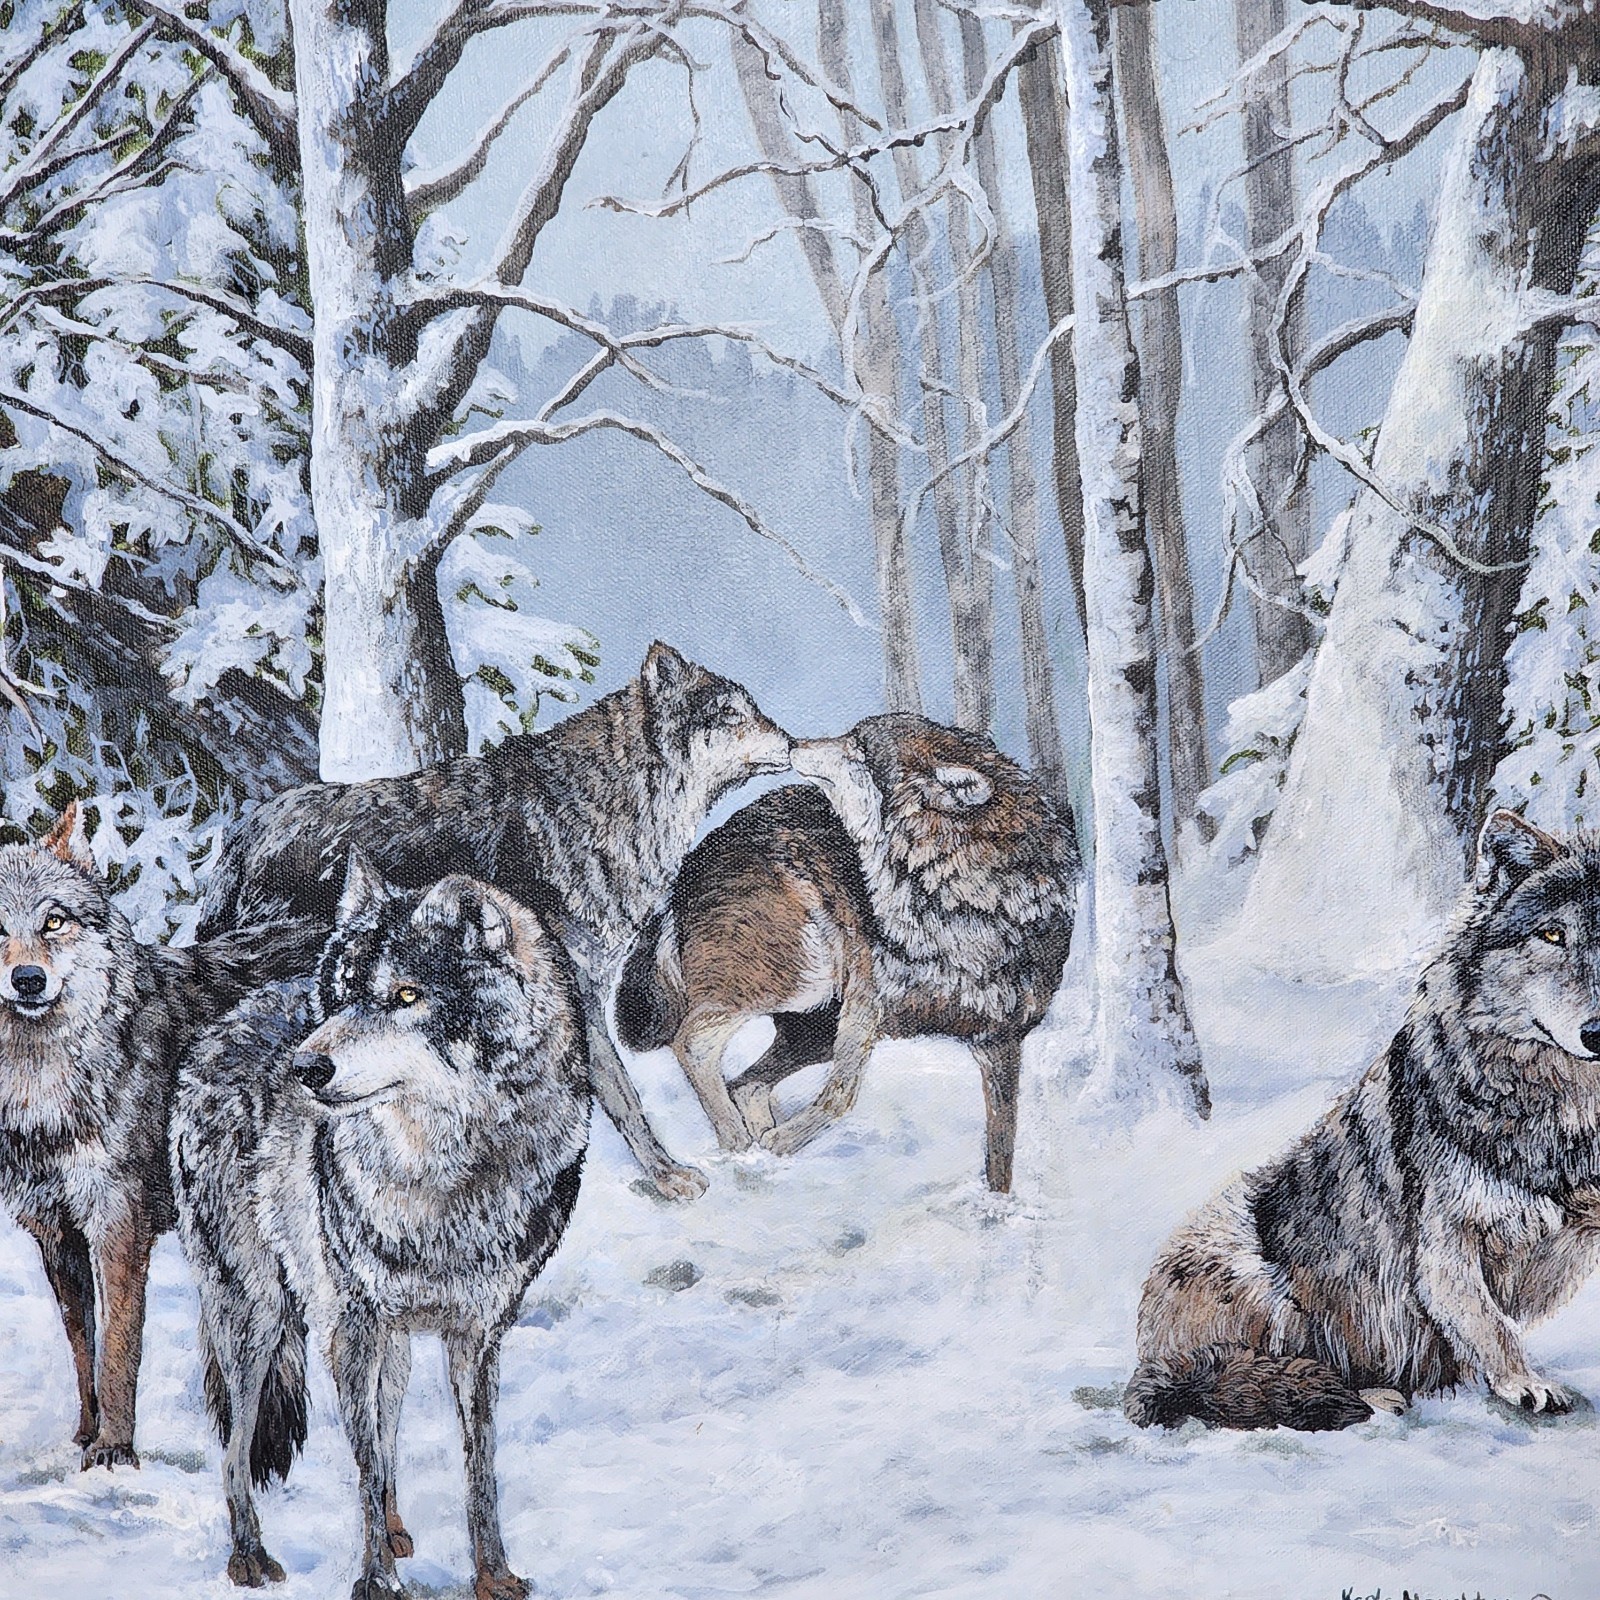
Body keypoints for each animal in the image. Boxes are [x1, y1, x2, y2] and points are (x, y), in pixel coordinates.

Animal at [0, 803, 324, 1470]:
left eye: (53, 920)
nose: (28, 980)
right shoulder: (56, 1233)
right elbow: (84, 1352)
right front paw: (85, 1436)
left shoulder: (118, 1225)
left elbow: (118, 1351)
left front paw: (114, 1451)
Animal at [172, 855, 590, 1599]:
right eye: (339, 995)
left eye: (405, 995)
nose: (305, 1068)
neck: (444, 1179)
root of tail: (222, 1025)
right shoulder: (351, 1329)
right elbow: (363, 1468)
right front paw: (376, 1581)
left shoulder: (478, 1335)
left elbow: (478, 1466)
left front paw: (492, 1575)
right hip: (260, 1320)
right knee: (235, 1448)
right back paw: (249, 1555)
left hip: (386, 1345)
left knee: (386, 1435)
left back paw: (396, 1535)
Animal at [195, 641, 791, 1200]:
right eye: (731, 714)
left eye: (753, 710)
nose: (790, 743)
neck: (606, 807)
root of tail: (243, 836)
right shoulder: (578, 998)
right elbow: (623, 1098)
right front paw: (666, 1177)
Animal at [615, 713, 1080, 1192]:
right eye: (852, 735)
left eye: (856, 747)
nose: (793, 743)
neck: (962, 907)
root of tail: (686, 871)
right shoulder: (866, 1004)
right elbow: (840, 1096)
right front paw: (783, 1140)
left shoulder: (1002, 1041)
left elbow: (1001, 1155)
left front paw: (998, 1205)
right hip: (800, 981)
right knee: (692, 1043)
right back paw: (740, 1142)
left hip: (814, 1027)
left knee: (746, 1083)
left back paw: (759, 1150)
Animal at [1125, 810, 1600, 1433]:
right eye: (1551, 936)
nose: (1598, 1033)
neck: (1563, 1113)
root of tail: (1144, 1360)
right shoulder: (1444, 1246)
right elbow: (1490, 1324)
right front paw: (1526, 1383)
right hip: (1255, 1273)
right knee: (1249, 1379)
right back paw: (1374, 1398)